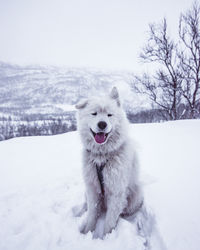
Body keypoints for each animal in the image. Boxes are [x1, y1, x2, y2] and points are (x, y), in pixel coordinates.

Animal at [75, 86, 144, 236]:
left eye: (109, 115)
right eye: (94, 114)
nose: (102, 124)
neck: (102, 156)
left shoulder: (116, 191)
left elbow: (110, 221)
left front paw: (107, 237)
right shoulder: (92, 188)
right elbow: (92, 214)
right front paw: (87, 232)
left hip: (135, 195)